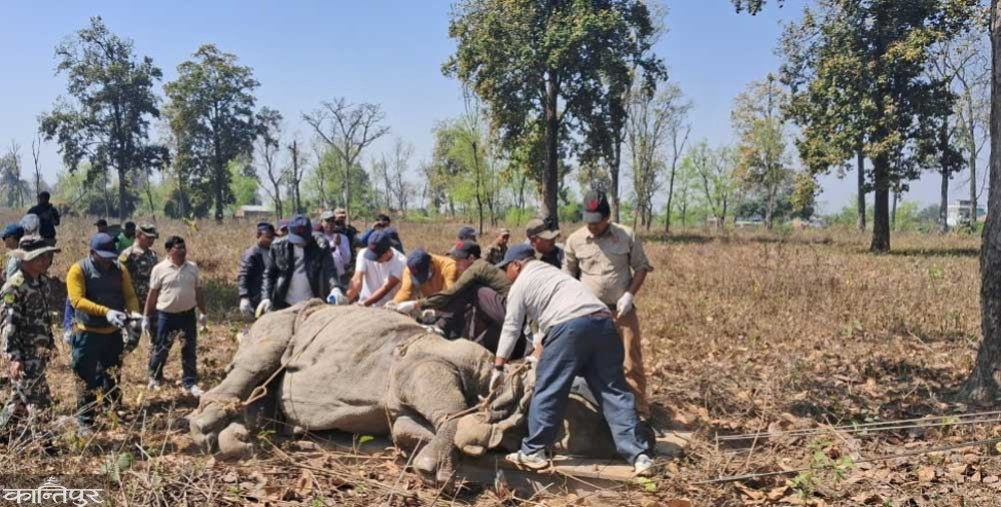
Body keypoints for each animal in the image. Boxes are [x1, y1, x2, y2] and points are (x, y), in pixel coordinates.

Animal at [188, 301, 621, 482]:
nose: (609, 445)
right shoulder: (424, 363)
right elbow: (445, 407)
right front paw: (438, 466)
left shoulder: (400, 409)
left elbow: (407, 429)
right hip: (281, 321)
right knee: (260, 357)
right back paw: (206, 430)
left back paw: (242, 437)